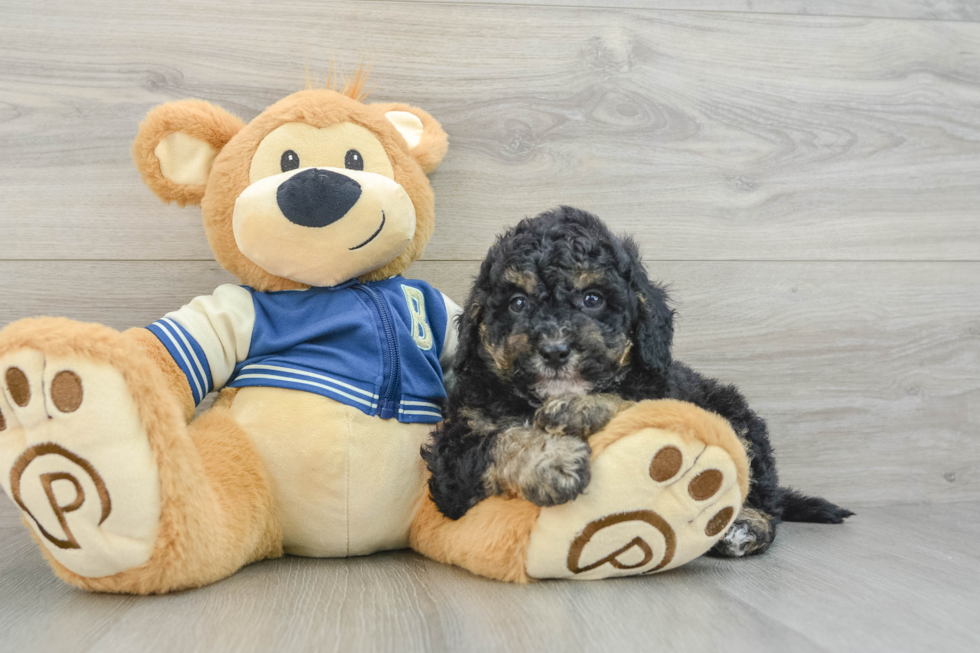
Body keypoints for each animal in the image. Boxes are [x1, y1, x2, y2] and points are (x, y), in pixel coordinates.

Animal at [424, 208, 852, 556]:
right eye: (517, 303)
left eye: (593, 299)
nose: (555, 350)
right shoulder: (453, 456)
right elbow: (499, 441)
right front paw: (552, 461)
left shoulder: (665, 393)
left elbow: (635, 402)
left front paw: (579, 409)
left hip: (738, 420)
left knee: (763, 497)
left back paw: (745, 526)